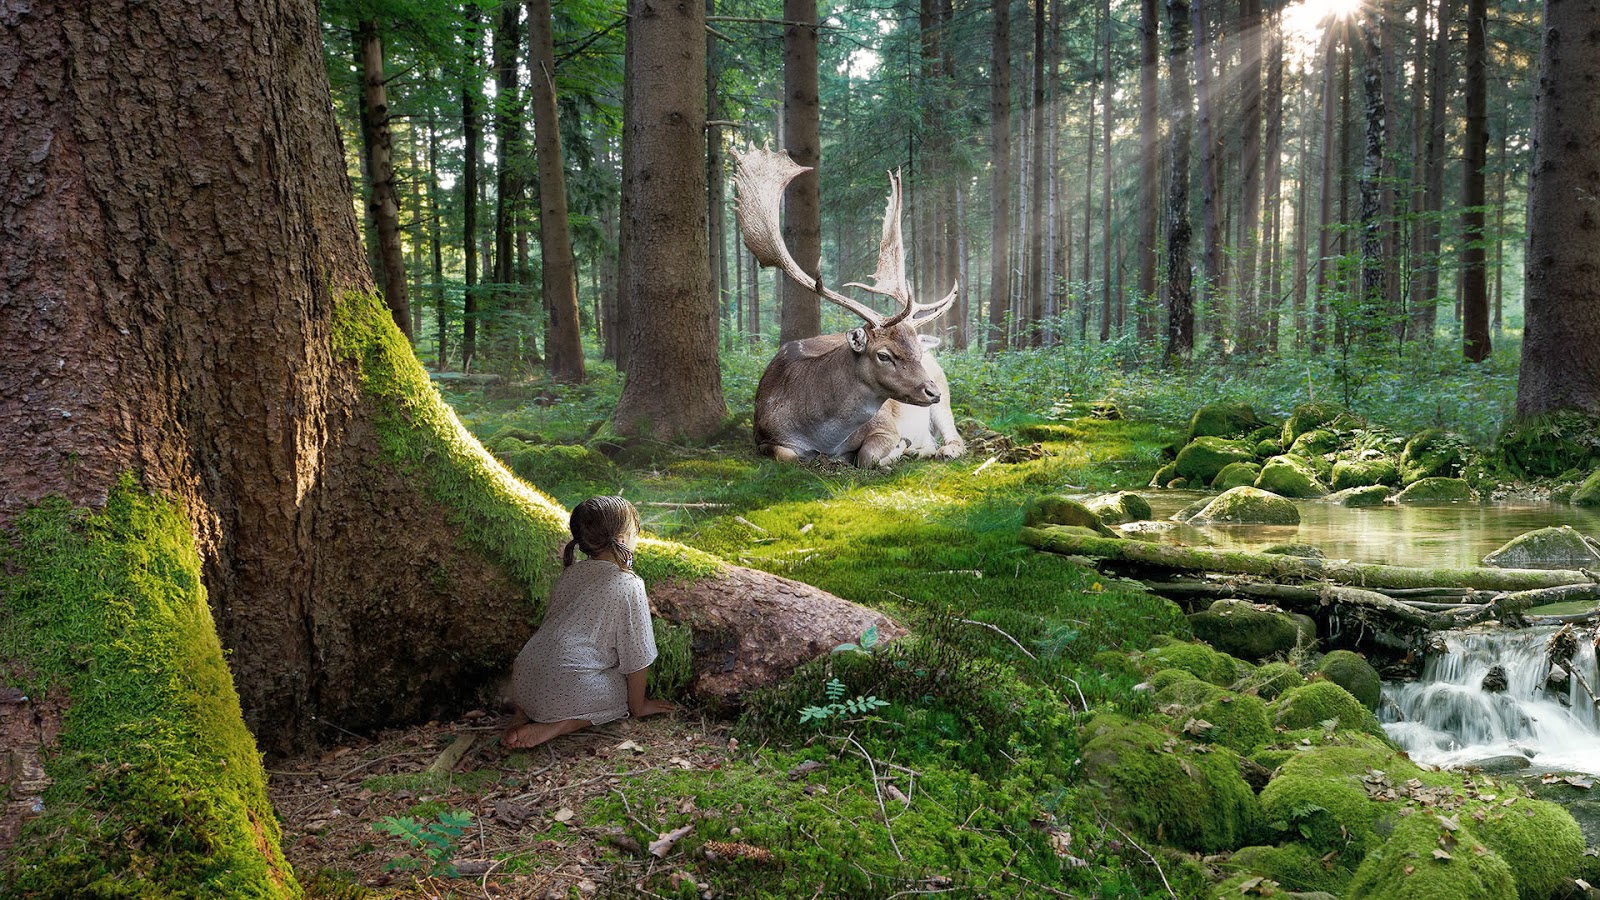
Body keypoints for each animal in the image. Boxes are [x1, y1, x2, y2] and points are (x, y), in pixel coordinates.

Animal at [732, 143, 953, 464]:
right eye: (884, 355)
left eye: (917, 352)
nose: (931, 392)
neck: (822, 438)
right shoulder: (761, 435)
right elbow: (788, 455)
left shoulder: (885, 425)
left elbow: (868, 456)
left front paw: (896, 450)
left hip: (945, 395)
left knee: (955, 437)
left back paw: (940, 449)